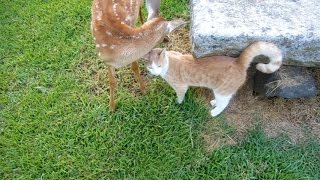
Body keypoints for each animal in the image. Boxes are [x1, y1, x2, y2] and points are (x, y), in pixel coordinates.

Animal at [143, 41, 282, 116]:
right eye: (150, 67)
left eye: (159, 66)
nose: (155, 72)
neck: (169, 61)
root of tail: (238, 62)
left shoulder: (181, 87)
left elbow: (180, 96)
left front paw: (178, 103)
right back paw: (214, 103)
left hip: (222, 91)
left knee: (225, 103)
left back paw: (214, 112)